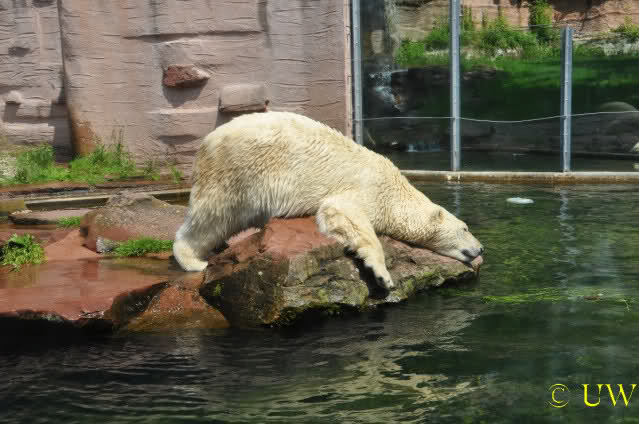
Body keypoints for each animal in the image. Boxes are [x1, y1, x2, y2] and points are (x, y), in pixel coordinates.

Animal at [173, 111, 483, 290]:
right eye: (465, 228)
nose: (480, 248)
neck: (394, 188)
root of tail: (207, 142)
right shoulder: (365, 188)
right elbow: (344, 213)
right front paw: (383, 276)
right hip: (235, 170)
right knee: (213, 215)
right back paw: (194, 260)